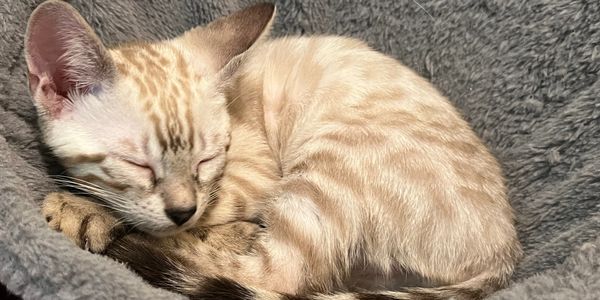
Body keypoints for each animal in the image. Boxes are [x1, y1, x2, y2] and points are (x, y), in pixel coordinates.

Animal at [25, 0, 520, 300]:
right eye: (138, 164)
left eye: (207, 160)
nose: (182, 210)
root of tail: (504, 254)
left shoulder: (251, 176)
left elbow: (185, 220)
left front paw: (84, 210)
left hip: (326, 165)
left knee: (275, 277)